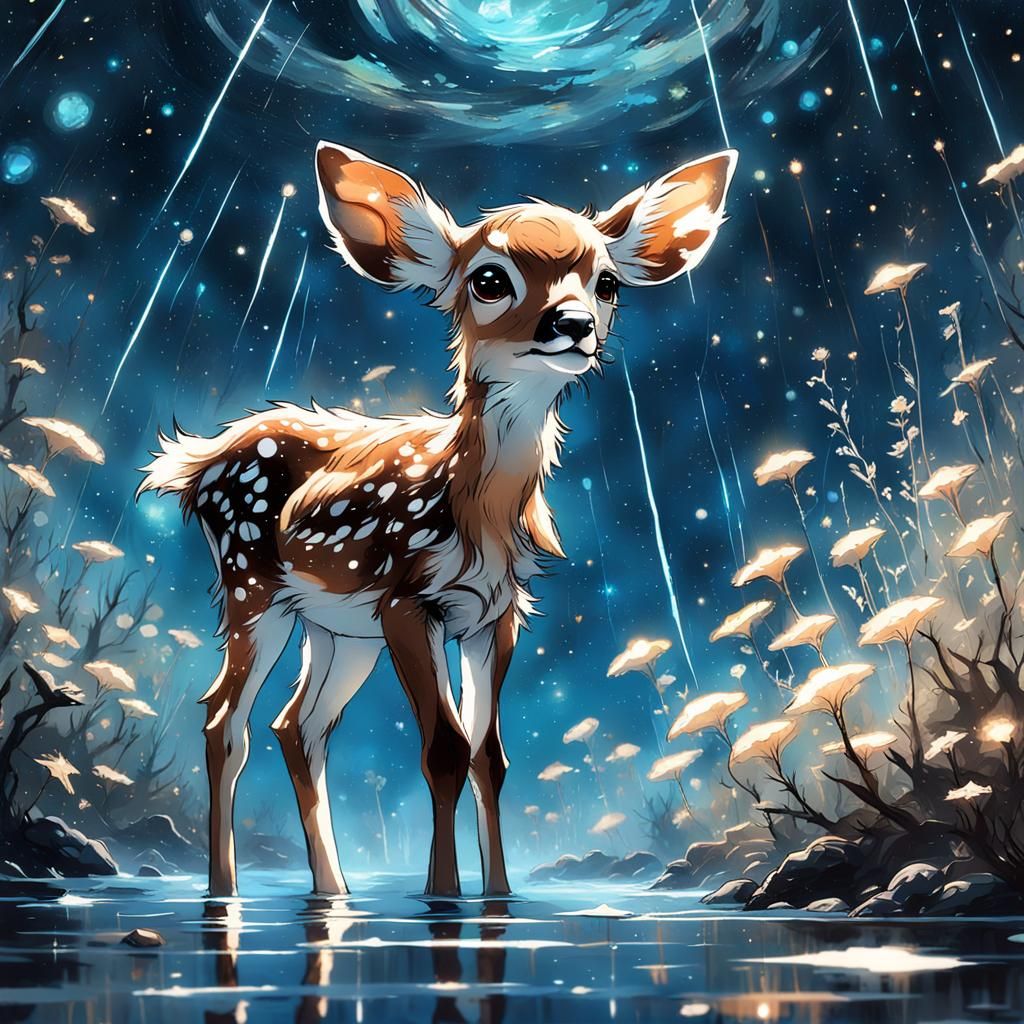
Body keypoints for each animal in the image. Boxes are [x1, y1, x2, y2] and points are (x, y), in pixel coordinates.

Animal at [138, 140, 736, 898]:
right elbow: (445, 748)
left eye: (607, 283)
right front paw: (442, 895)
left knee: (297, 727)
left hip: (337, 628)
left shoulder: (495, 612)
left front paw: (499, 896)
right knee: (225, 719)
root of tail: (200, 459)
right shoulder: (406, 599)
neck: (477, 511)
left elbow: (490, 756)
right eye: (490, 278)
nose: (573, 326)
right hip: (252, 582)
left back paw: (334, 890)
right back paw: (225, 890)